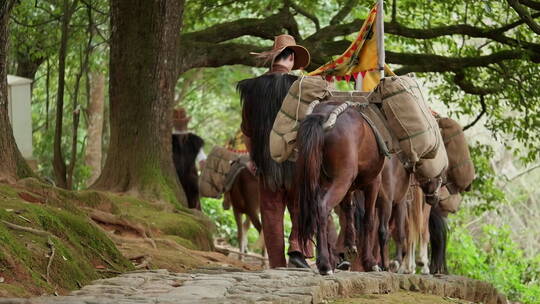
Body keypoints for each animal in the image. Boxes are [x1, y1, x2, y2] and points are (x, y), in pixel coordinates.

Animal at [294, 102, 386, 276]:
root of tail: (323, 117)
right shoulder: (373, 182)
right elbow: (369, 219)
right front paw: (370, 263)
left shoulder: (348, 188)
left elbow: (348, 210)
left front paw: (350, 245)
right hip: (342, 180)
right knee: (323, 207)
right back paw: (325, 264)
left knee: (318, 210)